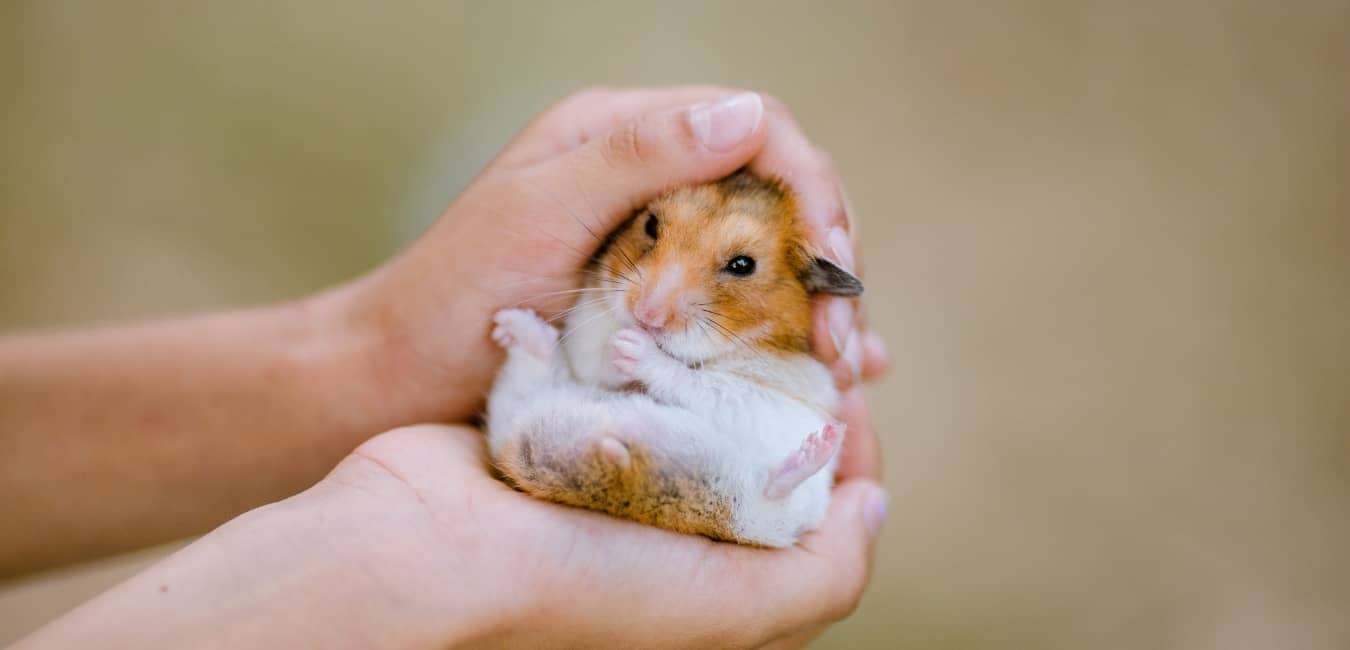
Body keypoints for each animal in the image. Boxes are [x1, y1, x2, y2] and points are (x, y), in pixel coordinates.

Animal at [485, 170, 863, 547]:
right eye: (650, 225)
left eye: (743, 265)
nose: (645, 315)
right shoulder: (586, 332)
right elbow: (596, 358)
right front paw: (620, 343)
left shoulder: (766, 395)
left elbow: (697, 381)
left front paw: (631, 347)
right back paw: (514, 327)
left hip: (775, 512)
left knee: (775, 492)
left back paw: (820, 445)